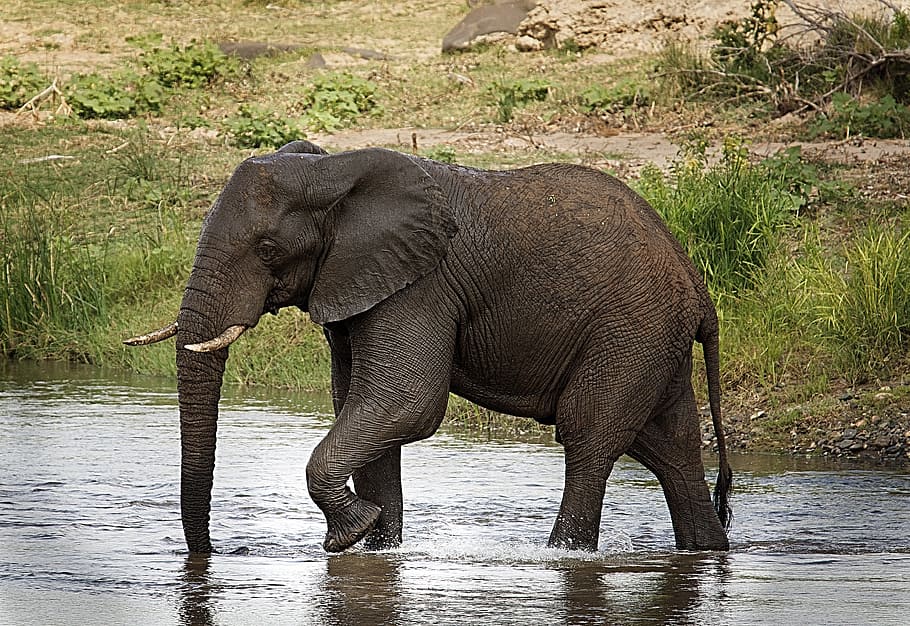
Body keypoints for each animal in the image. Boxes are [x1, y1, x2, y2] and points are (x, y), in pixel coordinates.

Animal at [126, 139, 733, 554]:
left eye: (268, 248)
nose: (214, 553)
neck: (335, 171)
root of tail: (698, 288)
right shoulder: (357, 281)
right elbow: (361, 407)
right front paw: (375, 548)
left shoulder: (420, 285)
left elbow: (403, 404)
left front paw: (349, 535)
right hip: (650, 336)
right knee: (669, 445)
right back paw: (706, 551)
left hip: (630, 327)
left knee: (589, 435)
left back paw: (564, 556)